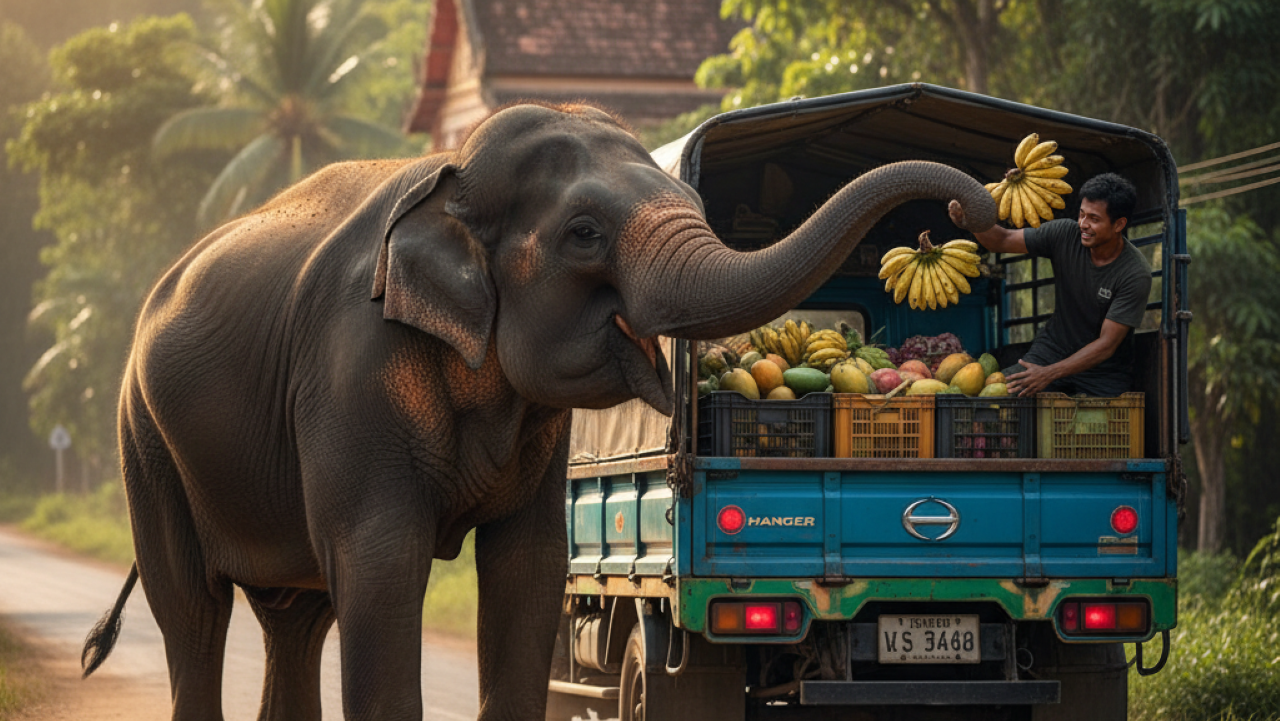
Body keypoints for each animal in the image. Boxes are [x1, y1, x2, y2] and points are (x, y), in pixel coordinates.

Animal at [81, 101, 996, 720]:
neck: (448, 172)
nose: (966, 213)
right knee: (194, 608)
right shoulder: (350, 373)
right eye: (584, 233)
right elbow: (382, 564)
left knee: (295, 616)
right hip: (143, 439)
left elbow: (529, 567)